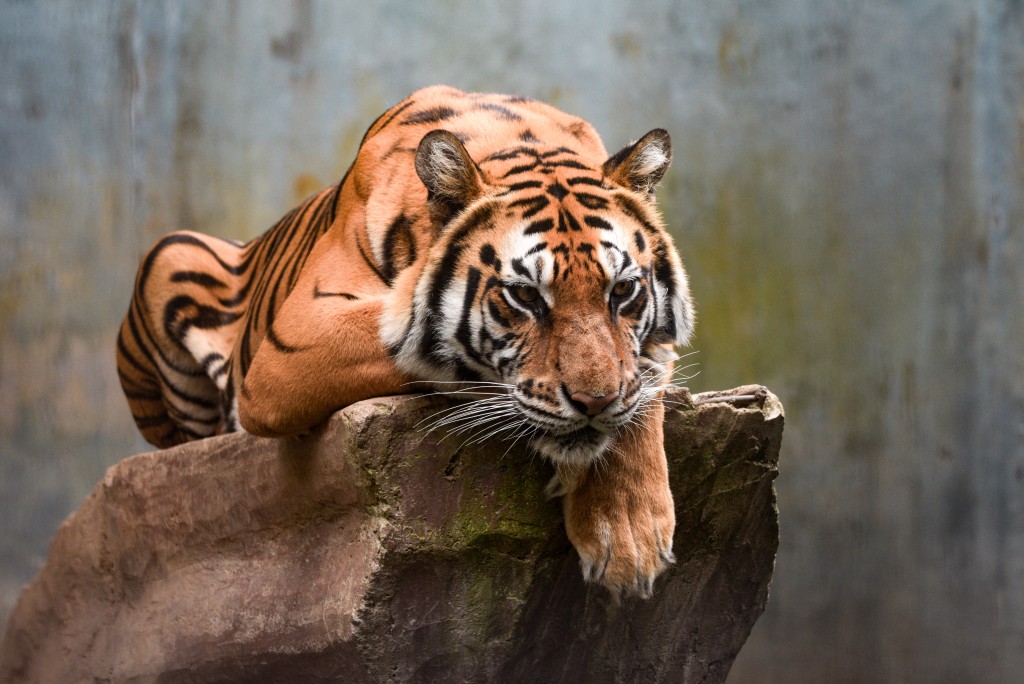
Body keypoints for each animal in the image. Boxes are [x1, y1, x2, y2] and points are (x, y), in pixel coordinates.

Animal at [116, 85, 695, 598]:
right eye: (526, 296)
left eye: (622, 291)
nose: (594, 403)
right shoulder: (297, 338)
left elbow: (642, 381)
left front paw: (628, 533)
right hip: (171, 255)